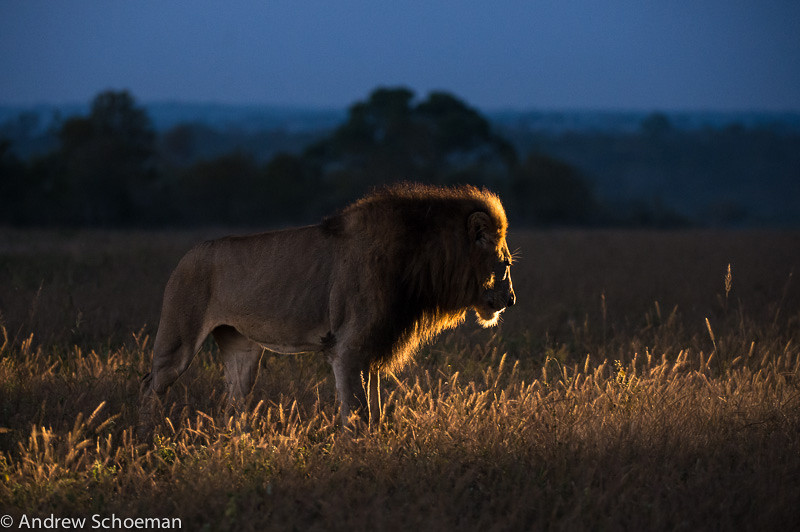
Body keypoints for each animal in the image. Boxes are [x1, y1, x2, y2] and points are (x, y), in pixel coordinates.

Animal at [139, 183, 515, 430]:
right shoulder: (348, 349)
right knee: (150, 385)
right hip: (178, 341)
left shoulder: (371, 350)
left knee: (233, 401)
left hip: (242, 348)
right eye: (507, 264)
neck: (422, 261)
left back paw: (238, 444)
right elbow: (358, 416)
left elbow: (375, 413)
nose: (511, 300)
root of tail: (188, 254)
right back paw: (148, 440)